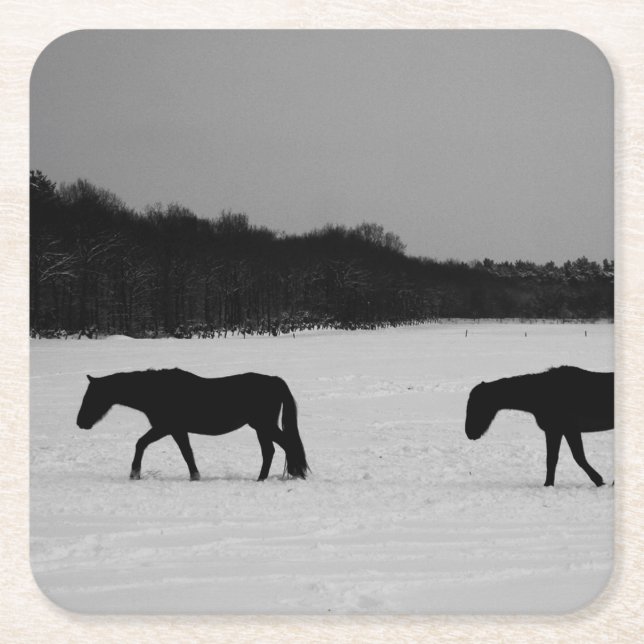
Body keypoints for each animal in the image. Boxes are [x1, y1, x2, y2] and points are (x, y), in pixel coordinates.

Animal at [76, 369, 309, 482]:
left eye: (92, 396)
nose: (80, 422)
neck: (156, 391)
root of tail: (274, 380)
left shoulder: (167, 428)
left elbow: (141, 443)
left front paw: (135, 473)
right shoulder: (177, 430)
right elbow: (187, 453)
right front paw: (195, 476)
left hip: (263, 425)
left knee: (285, 445)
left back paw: (291, 474)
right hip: (261, 427)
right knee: (270, 451)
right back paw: (262, 478)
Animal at [465, 366, 613, 486]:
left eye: (477, 406)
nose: (469, 433)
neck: (543, 394)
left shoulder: (562, 430)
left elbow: (571, 458)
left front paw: (599, 480)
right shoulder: (560, 431)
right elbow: (559, 458)